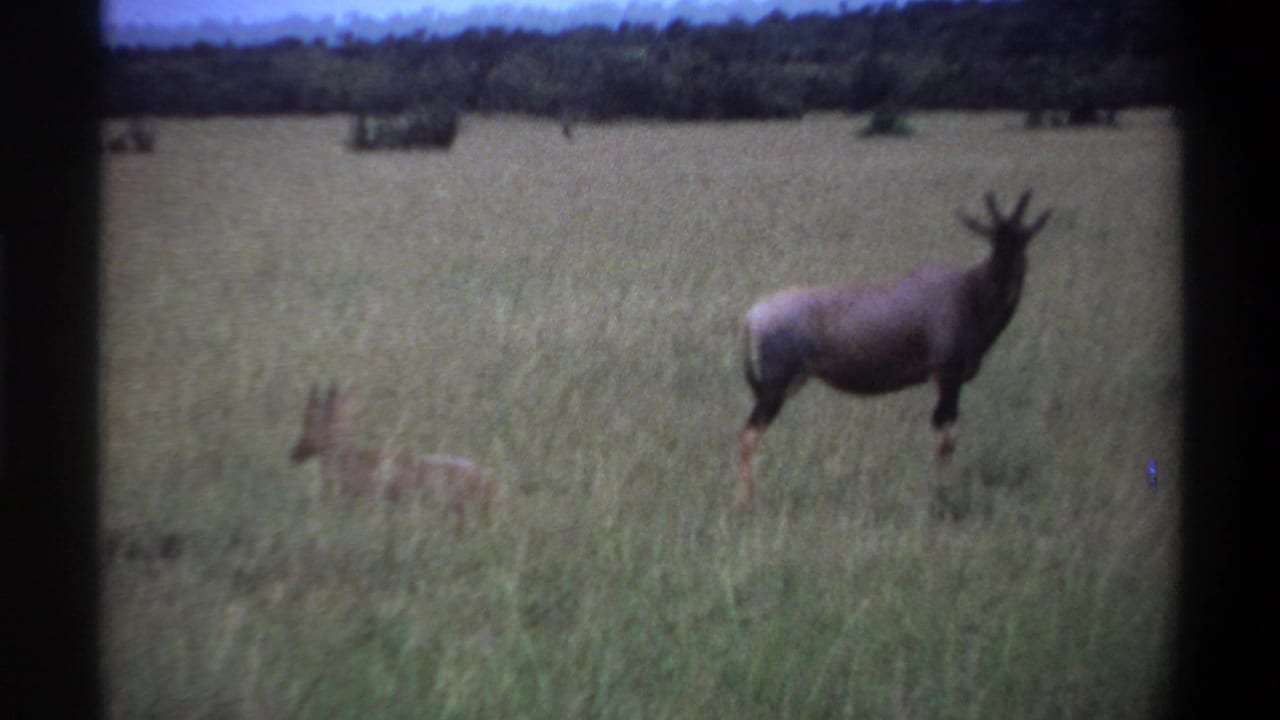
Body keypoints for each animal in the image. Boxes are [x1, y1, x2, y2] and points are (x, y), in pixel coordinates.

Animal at [735, 190, 1051, 513]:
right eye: (991, 239)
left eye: (1023, 239)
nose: (1005, 288)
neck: (967, 290)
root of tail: (754, 315)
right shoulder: (947, 376)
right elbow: (946, 436)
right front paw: (940, 497)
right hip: (775, 389)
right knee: (748, 436)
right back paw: (744, 505)